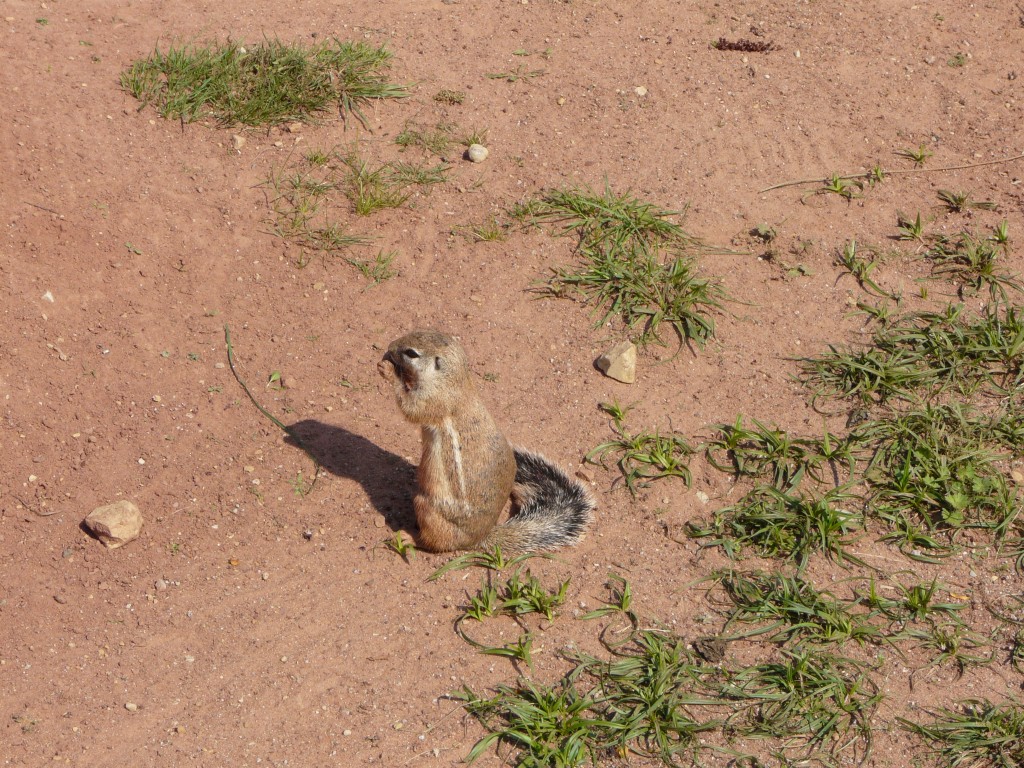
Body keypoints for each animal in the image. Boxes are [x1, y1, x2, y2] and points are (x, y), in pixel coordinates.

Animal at [380, 331, 598, 552]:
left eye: (411, 353)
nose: (389, 347)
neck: (453, 380)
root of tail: (478, 538)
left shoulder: (433, 400)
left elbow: (411, 409)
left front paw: (388, 372)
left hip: (425, 506)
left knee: (432, 542)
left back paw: (409, 537)